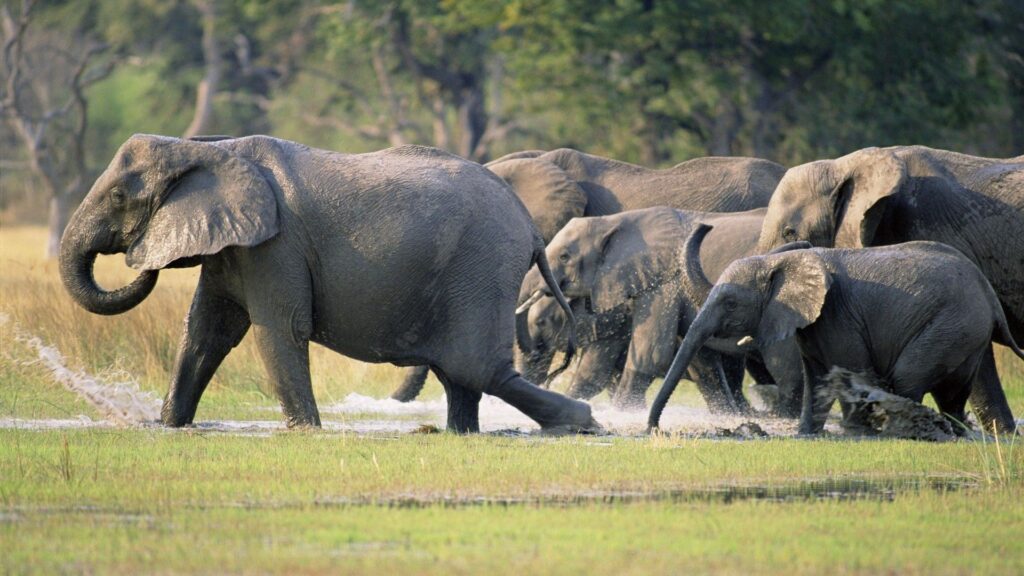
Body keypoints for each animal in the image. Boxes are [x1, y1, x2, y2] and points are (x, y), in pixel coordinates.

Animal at [59, 134, 600, 434]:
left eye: (118, 196)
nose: (140, 263)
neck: (208, 150)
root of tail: (528, 224)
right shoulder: (238, 247)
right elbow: (207, 332)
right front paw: (169, 426)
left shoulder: (276, 246)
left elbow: (277, 332)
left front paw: (306, 433)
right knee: (462, 376)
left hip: (482, 267)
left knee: (479, 368)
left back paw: (583, 422)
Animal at [516, 206, 804, 413]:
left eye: (565, 256)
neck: (612, 222)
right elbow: (702, 364)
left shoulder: (663, 284)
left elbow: (650, 356)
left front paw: (624, 414)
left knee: (786, 368)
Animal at [649, 230, 1024, 435]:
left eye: (730, 302)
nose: (653, 430)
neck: (781, 262)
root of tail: (989, 295)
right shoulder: (813, 324)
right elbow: (816, 381)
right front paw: (806, 435)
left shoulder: (838, 316)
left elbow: (848, 373)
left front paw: (855, 433)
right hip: (965, 333)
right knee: (953, 394)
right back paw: (952, 432)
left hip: (952, 324)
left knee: (908, 379)